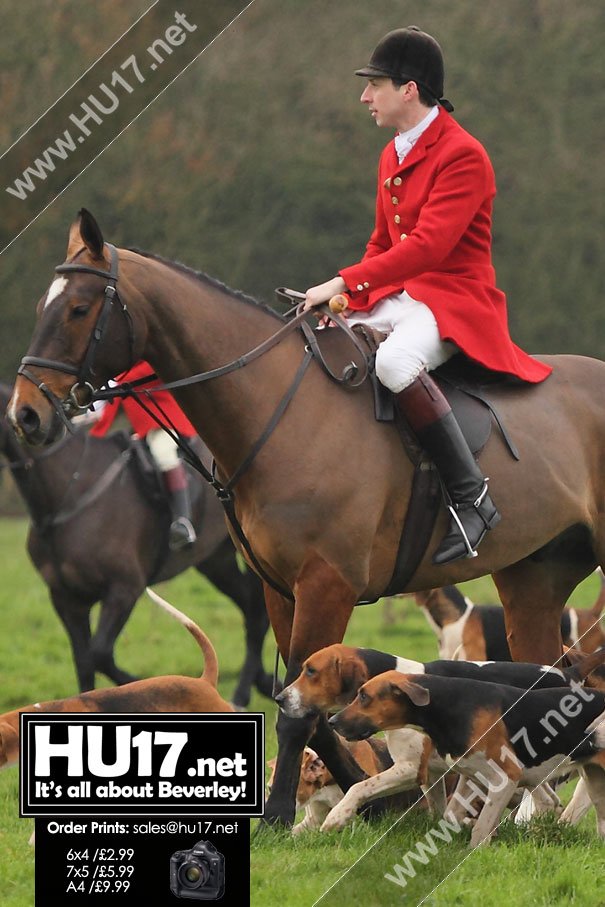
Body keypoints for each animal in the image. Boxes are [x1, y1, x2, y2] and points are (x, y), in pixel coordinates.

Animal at [0, 384, 272, 708]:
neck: (70, 492)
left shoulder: (124, 589)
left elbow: (100, 654)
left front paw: (139, 686)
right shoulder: (67, 599)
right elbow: (84, 662)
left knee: (258, 614)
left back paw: (243, 693)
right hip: (216, 562)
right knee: (251, 611)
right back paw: (260, 683)